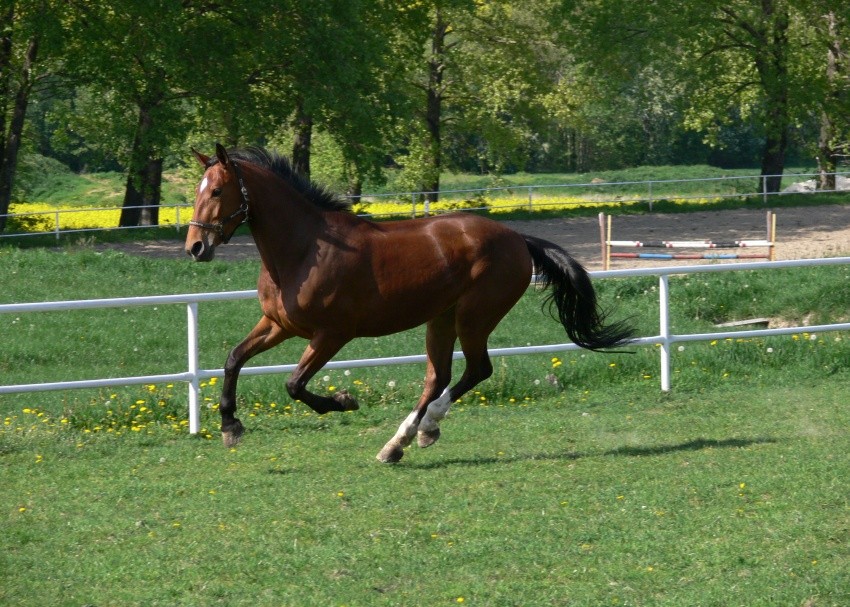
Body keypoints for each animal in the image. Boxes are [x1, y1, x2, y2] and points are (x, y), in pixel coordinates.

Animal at [186, 145, 632, 464]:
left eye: (218, 190)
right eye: (196, 191)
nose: (195, 248)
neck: (305, 249)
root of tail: (518, 239)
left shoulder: (332, 334)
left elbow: (294, 385)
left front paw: (344, 401)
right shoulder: (278, 324)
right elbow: (233, 358)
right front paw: (230, 426)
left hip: (473, 317)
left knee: (476, 370)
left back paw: (426, 428)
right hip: (442, 319)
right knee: (439, 376)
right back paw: (400, 443)